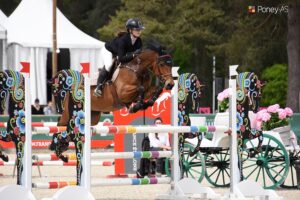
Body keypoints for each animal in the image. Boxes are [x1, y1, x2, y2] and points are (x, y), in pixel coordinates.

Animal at [50, 45, 175, 184]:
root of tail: (71, 89)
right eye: (162, 64)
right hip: (73, 113)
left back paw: (61, 149)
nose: (170, 84)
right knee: (62, 127)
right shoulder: (123, 92)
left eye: (171, 64)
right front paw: (136, 106)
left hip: (92, 117)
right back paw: (59, 148)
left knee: (65, 128)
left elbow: (153, 90)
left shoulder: (147, 89)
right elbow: (140, 89)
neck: (137, 69)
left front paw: (146, 103)